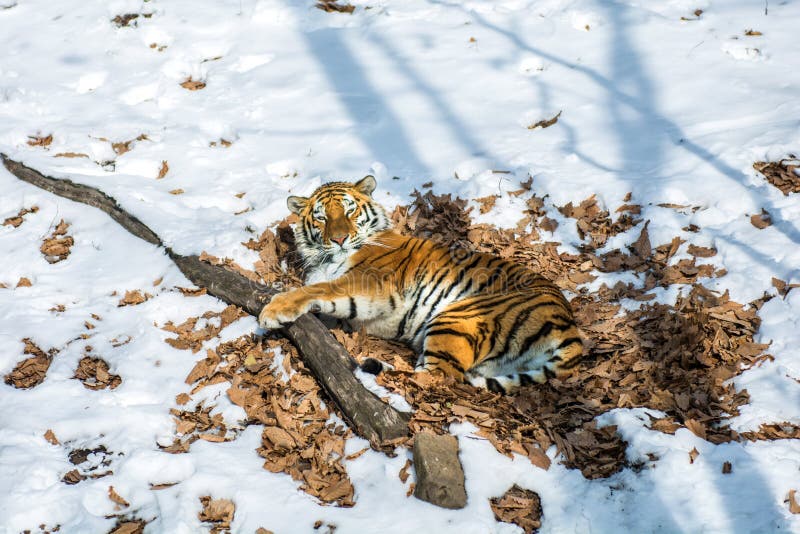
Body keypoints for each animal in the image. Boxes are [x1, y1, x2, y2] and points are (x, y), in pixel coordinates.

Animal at [260, 176, 584, 394]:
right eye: (322, 217)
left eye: (349, 211)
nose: (339, 239)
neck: (326, 259)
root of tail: (568, 324)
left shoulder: (369, 281)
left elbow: (320, 289)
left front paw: (273, 310)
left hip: (456, 318)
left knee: (437, 379)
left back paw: (374, 370)